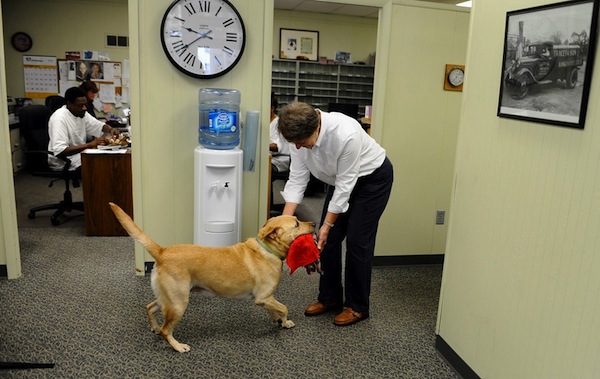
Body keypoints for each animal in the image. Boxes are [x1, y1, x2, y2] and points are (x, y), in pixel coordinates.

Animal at [109, 203, 314, 354]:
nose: (313, 224)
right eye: (296, 223)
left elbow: (275, 309)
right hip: (178, 303)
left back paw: (155, 327)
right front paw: (285, 321)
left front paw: (278, 320)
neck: (267, 250)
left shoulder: (267, 299)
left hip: (167, 298)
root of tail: (162, 251)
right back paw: (178, 346)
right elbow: (284, 307)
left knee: (149, 308)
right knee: (166, 330)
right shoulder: (263, 297)